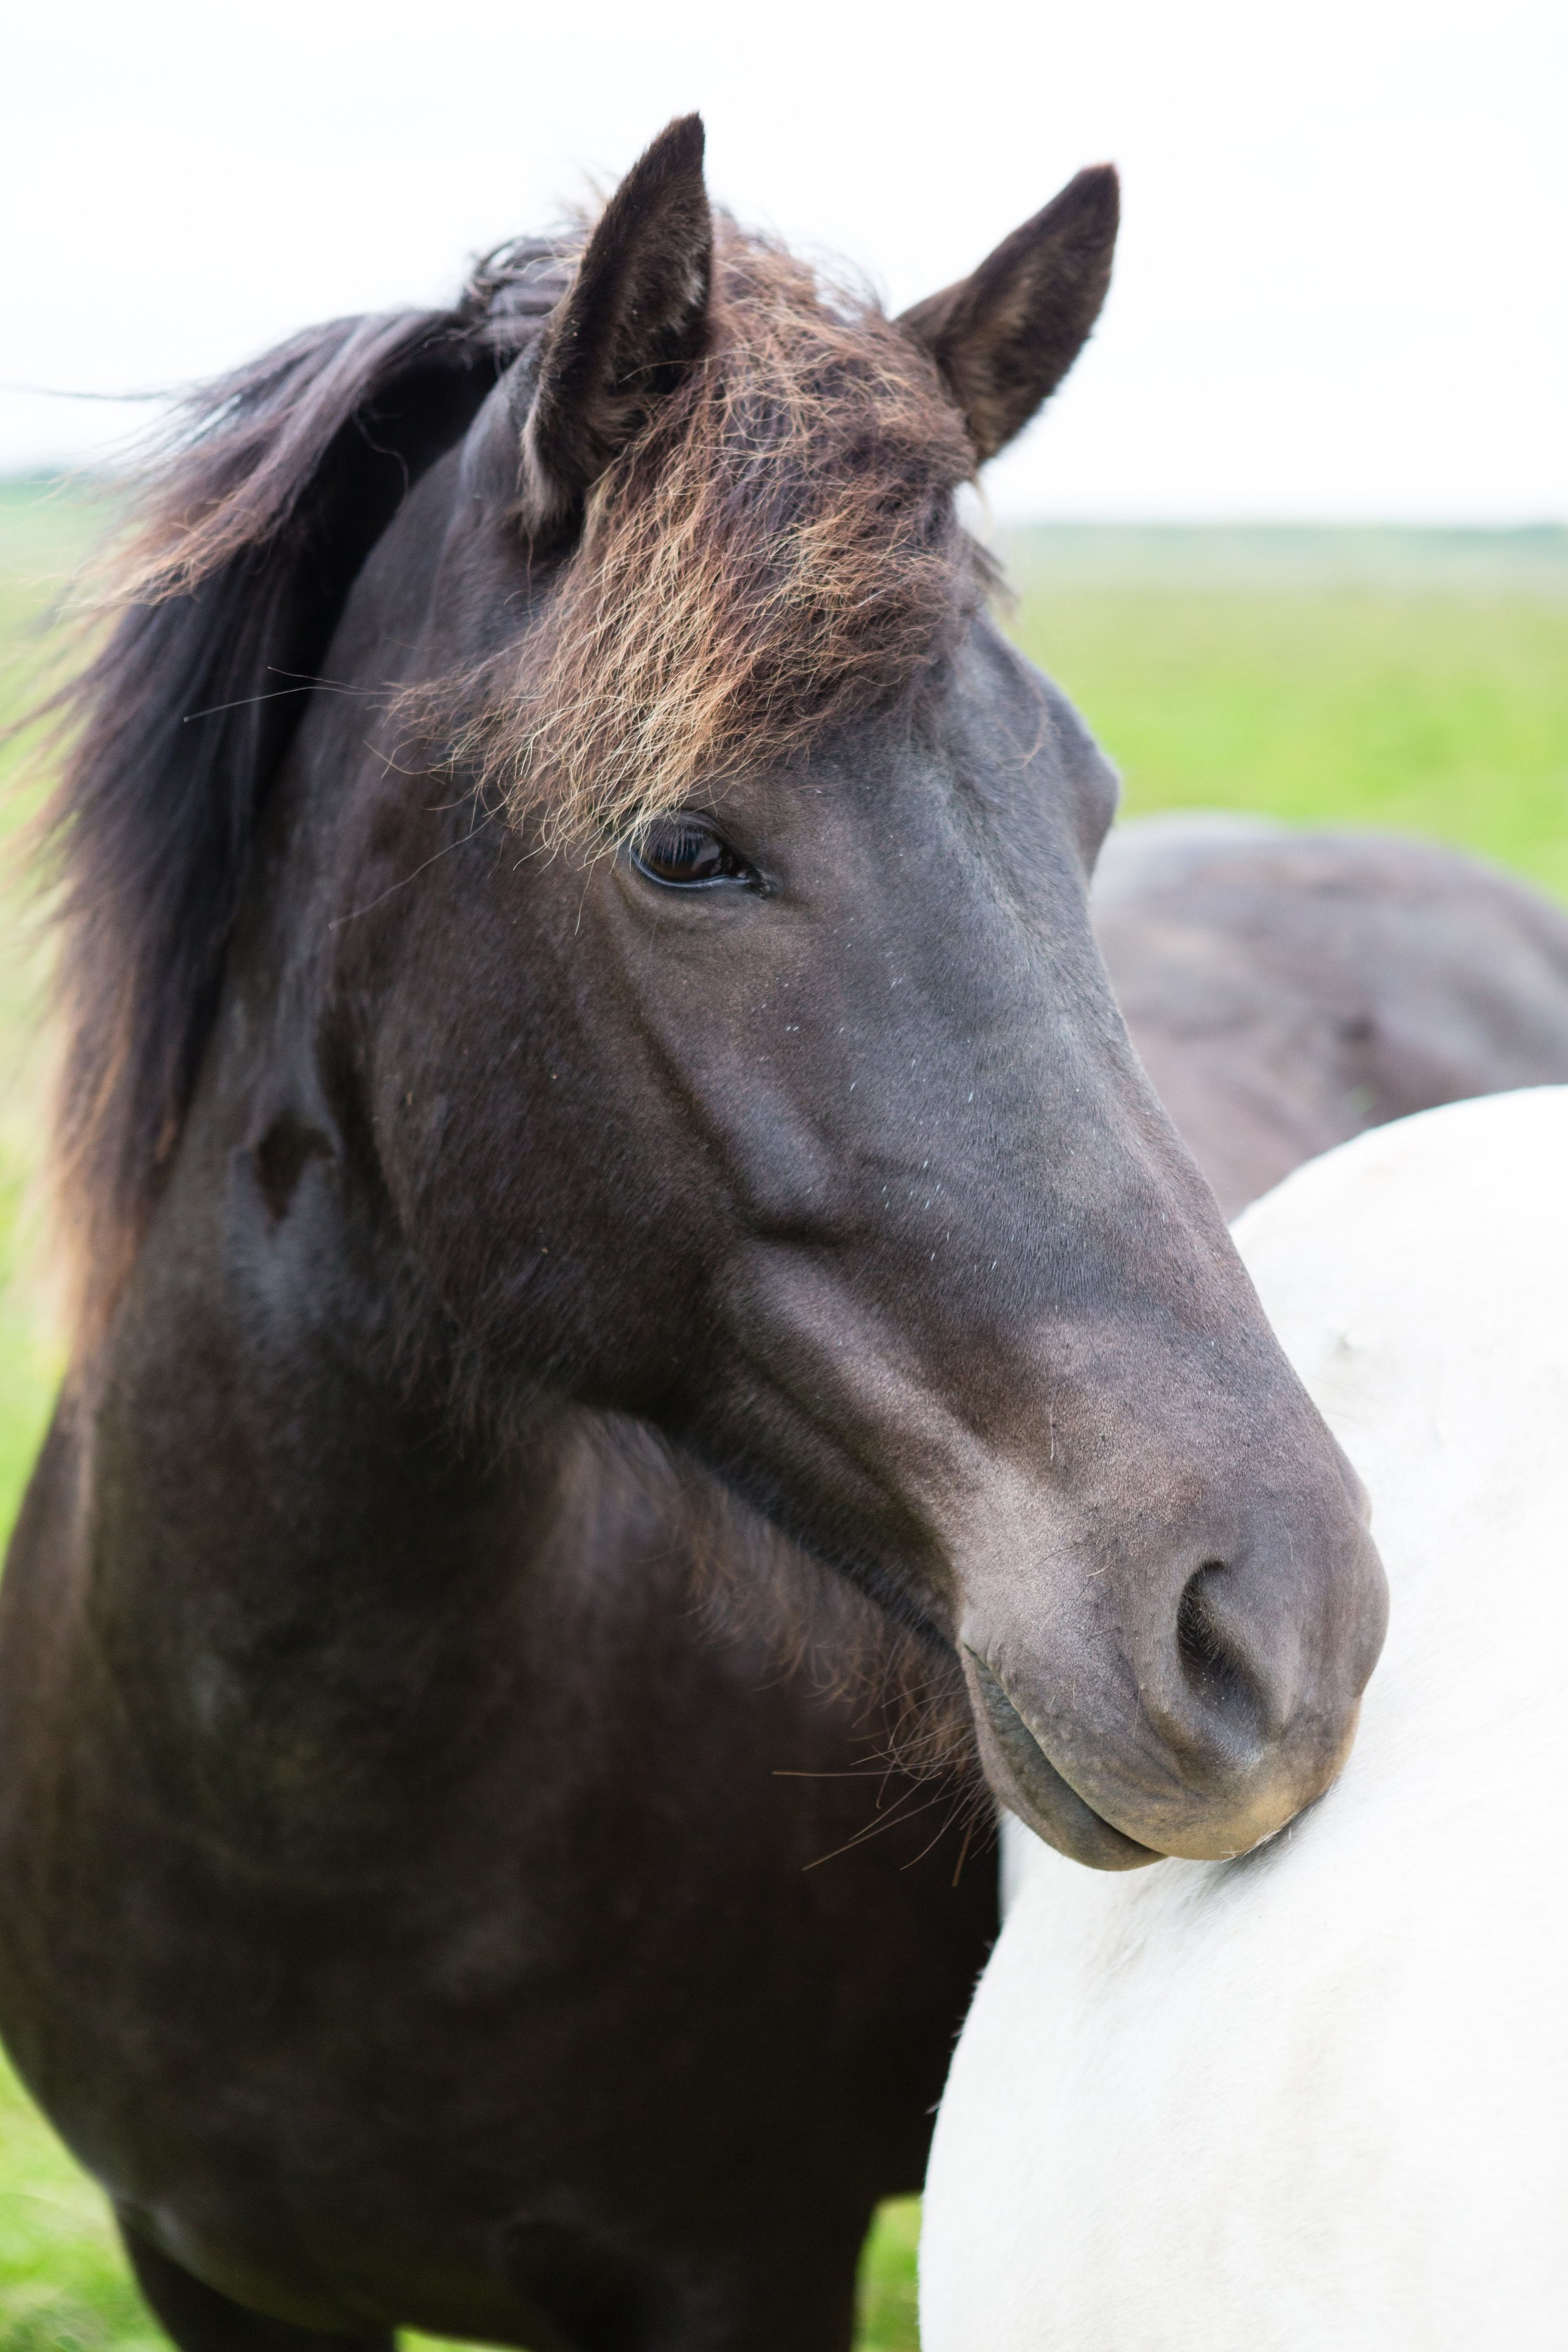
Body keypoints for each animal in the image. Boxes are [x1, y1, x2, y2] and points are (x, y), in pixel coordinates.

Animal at [0, 129, 1382, 2352]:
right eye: (681, 844)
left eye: (1078, 799)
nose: (1278, 1628)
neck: (298, 1828)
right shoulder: (200, 2262)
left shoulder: (734, 2269)